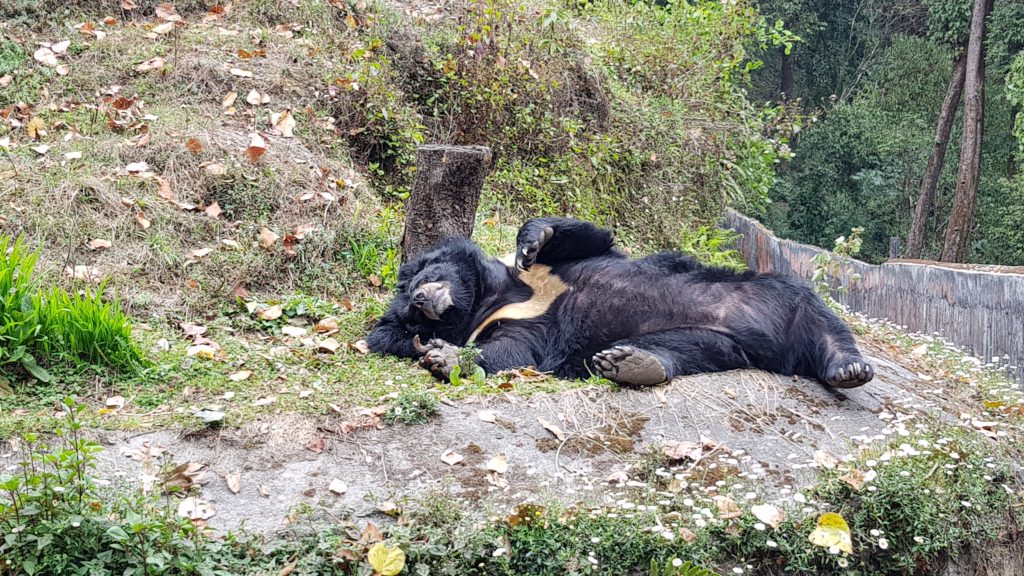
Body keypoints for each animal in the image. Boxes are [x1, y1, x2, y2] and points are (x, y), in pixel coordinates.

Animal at [364, 217, 876, 387]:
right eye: (412, 319)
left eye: (423, 277)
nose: (424, 299)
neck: (497, 297)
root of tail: (780, 353)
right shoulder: (521, 326)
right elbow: (513, 351)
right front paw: (444, 357)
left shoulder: (550, 273)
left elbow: (586, 237)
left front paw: (531, 241)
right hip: (717, 342)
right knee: (679, 351)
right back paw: (630, 364)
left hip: (773, 290)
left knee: (820, 316)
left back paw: (849, 369)